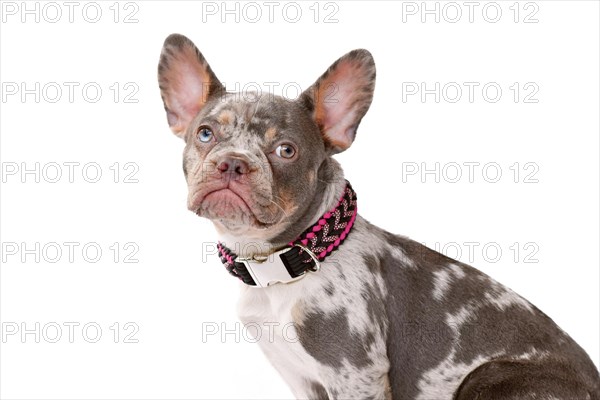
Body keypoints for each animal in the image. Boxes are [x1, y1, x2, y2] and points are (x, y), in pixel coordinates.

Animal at [157, 34, 596, 400]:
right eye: (206, 134)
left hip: (486, 378)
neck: (288, 261)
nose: (232, 162)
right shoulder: (305, 380)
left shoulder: (354, 374)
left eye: (286, 151)